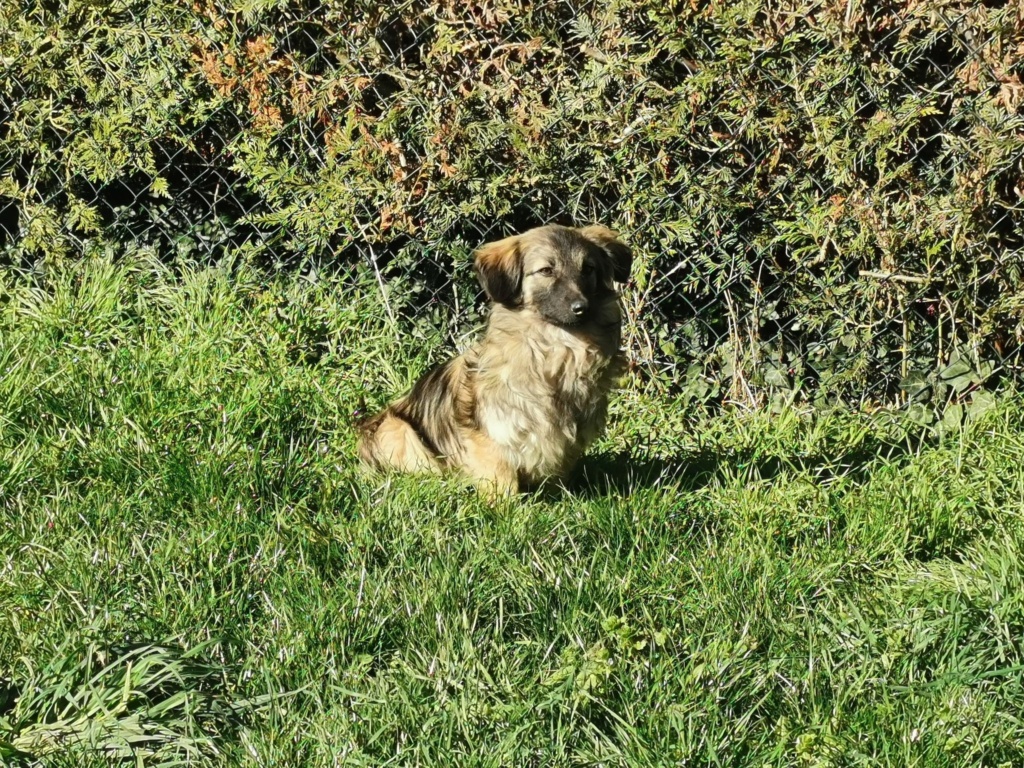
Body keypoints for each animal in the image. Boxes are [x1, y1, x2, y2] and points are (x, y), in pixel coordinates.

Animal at [358, 225, 630, 495]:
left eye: (588, 268)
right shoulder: (489, 433)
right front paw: (506, 503)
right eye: (546, 270)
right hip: (397, 430)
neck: (556, 352)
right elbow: (502, 477)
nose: (581, 307)